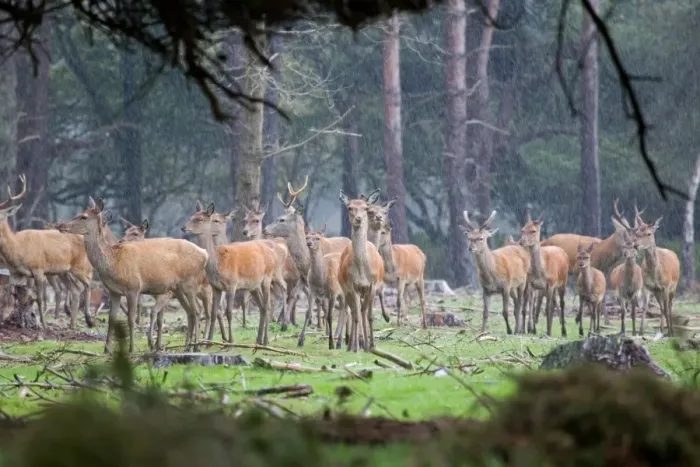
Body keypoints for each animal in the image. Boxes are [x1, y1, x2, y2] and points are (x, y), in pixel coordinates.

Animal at [0, 175, 94, 329]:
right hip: (63, 271)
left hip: (81, 266)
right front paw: (12, 321)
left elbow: (38, 297)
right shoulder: (15, 273)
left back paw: (89, 319)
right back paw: (72, 324)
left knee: (88, 284)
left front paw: (42, 323)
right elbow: (12, 296)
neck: (18, 249)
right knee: (75, 289)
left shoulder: (38, 269)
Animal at [59, 198, 207, 353]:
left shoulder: (133, 288)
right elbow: (112, 319)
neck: (114, 262)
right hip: (177, 289)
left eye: (84, 216)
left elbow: (131, 318)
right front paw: (106, 349)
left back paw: (196, 346)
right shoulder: (113, 291)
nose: (60, 225)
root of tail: (204, 254)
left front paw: (131, 349)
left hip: (189, 283)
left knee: (197, 310)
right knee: (190, 312)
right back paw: (187, 346)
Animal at [183, 202, 276, 345]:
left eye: (199, 219)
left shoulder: (232, 284)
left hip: (267, 277)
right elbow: (214, 313)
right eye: (191, 216)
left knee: (267, 305)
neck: (217, 264)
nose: (183, 227)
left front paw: (231, 341)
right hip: (253, 285)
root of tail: (270, 250)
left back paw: (265, 340)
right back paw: (259, 339)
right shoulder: (215, 287)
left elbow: (229, 312)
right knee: (262, 307)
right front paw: (208, 341)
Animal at [632, 205, 680, 337]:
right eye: (637, 232)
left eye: (648, 233)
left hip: (674, 287)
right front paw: (640, 332)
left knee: (669, 306)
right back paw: (662, 330)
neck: (656, 274)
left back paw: (670, 330)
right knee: (662, 307)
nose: (635, 245)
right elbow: (645, 307)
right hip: (658, 292)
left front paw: (670, 333)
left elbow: (666, 309)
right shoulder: (648, 286)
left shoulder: (666, 286)